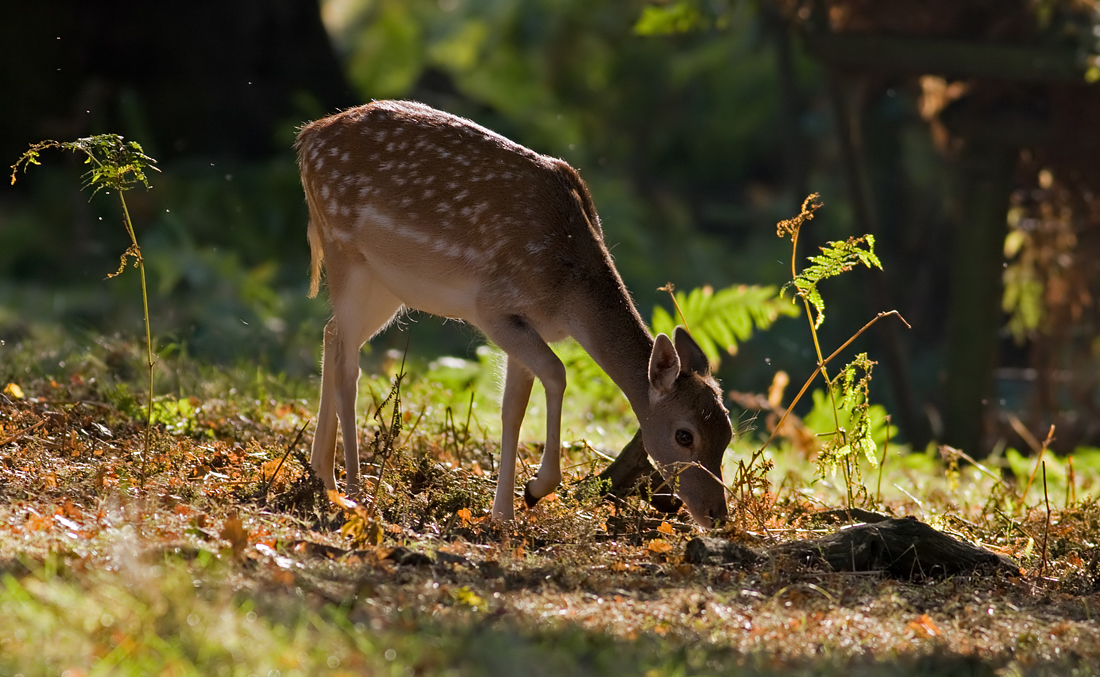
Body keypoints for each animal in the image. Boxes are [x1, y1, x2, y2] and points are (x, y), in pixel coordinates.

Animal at [297, 100, 734, 526]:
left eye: (728, 434)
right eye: (684, 435)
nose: (717, 515)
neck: (568, 293)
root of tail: (306, 138)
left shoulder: (523, 324)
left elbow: (512, 409)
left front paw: (503, 516)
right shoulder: (492, 308)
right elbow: (557, 373)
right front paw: (536, 488)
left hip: (386, 285)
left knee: (332, 334)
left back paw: (321, 476)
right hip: (344, 249)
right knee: (348, 367)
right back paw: (354, 492)